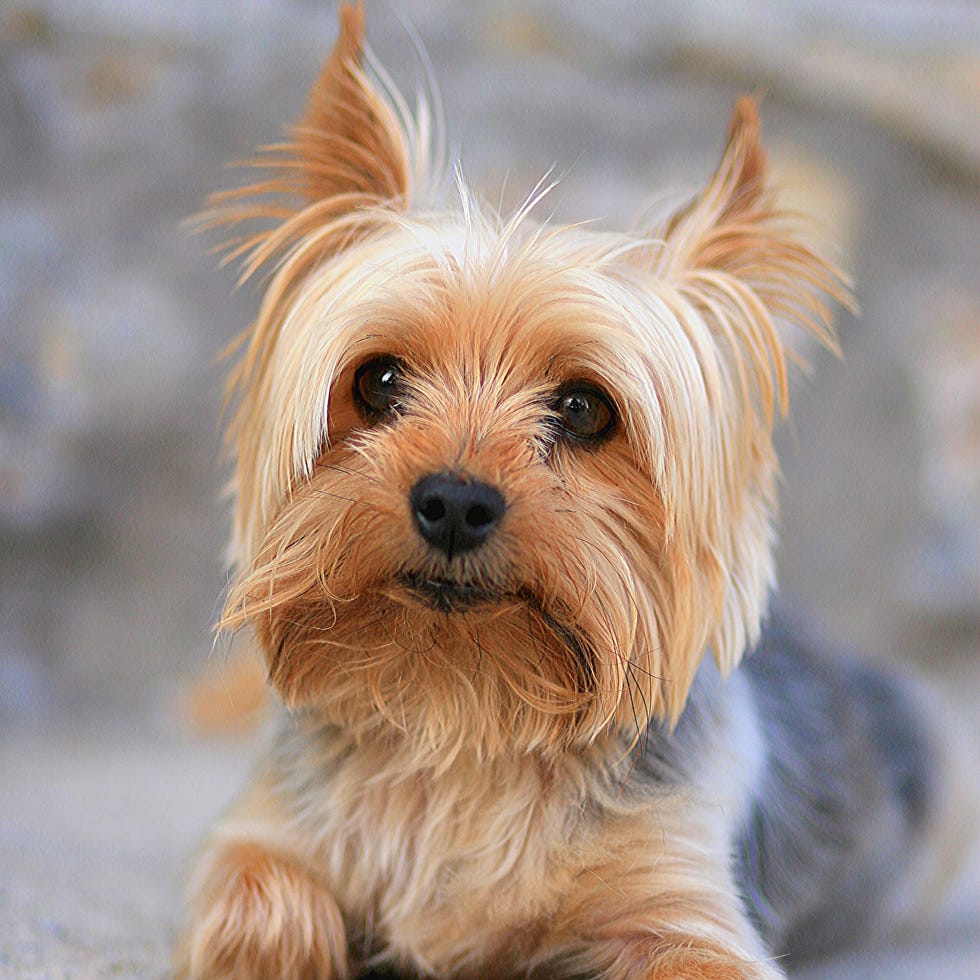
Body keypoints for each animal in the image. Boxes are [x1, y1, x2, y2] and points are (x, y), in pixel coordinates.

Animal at [176, 5, 964, 972]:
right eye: (378, 380)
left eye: (586, 408)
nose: (455, 501)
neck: (464, 713)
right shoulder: (269, 833)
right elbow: (258, 898)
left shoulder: (679, 899)